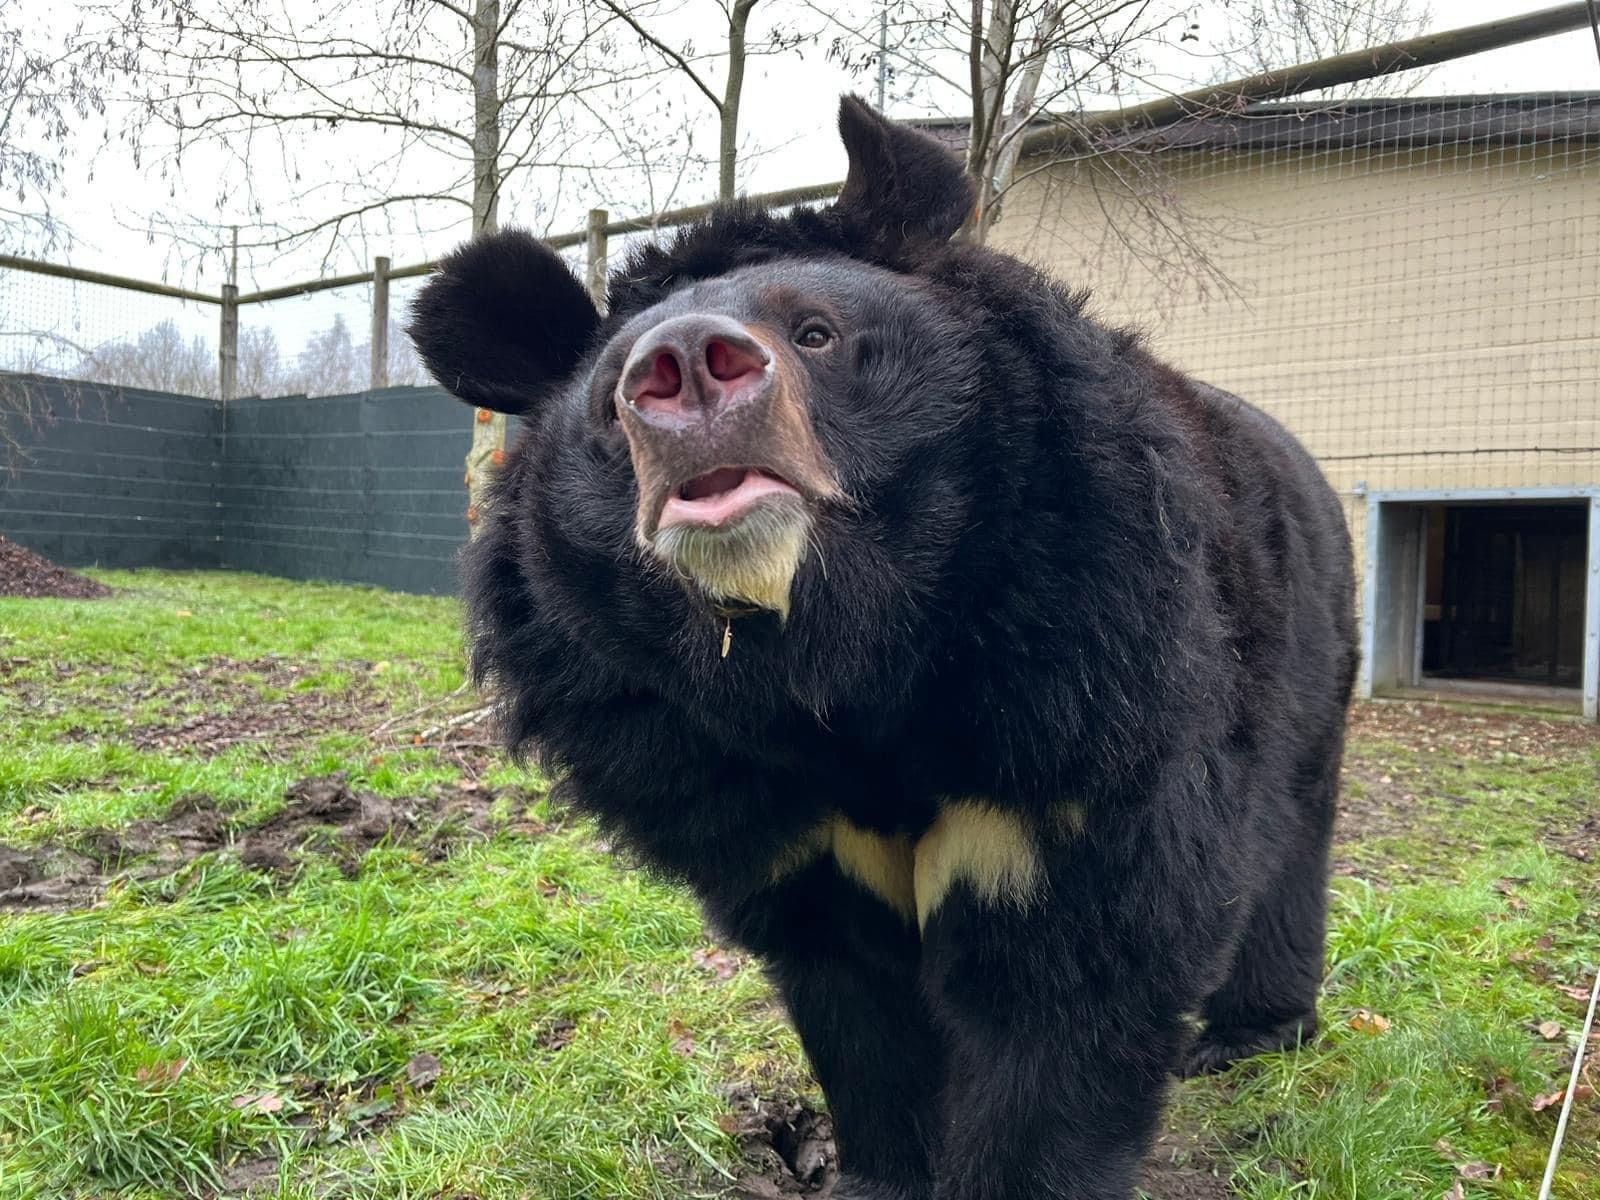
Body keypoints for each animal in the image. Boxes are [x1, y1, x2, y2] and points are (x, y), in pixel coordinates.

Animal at [409, 96, 1350, 1200]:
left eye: (816, 333)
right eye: (608, 399)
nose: (682, 369)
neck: (840, 661)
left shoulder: (1082, 689)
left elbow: (1079, 980)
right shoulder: (733, 787)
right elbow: (856, 1003)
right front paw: (878, 1173)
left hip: (1309, 653)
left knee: (1290, 833)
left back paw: (1251, 1034)